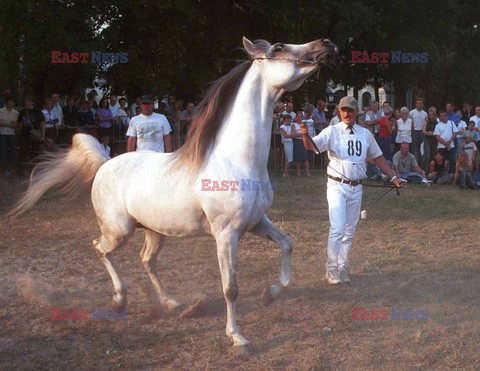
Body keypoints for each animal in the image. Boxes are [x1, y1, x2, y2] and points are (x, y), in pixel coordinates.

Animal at [8, 37, 338, 354]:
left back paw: (173, 304)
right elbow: (230, 288)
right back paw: (120, 300)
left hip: (155, 231)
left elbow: (287, 245)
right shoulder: (226, 234)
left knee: (146, 260)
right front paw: (238, 339)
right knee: (100, 249)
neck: (237, 159)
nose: (326, 45)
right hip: (119, 231)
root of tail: (104, 162)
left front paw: (269, 295)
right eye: (279, 47)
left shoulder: (257, 222)